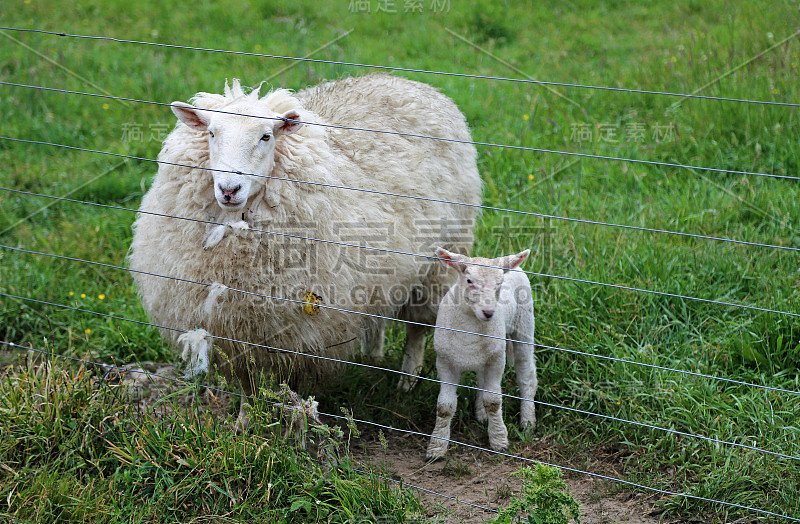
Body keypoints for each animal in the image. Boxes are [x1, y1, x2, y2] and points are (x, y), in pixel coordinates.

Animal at [130, 74, 482, 426]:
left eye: (266, 136)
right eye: (212, 133)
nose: (230, 189)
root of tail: (403, 80)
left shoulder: (305, 331)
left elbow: (295, 382)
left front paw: (297, 422)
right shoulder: (235, 327)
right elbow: (248, 382)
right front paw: (244, 423)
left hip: (436, 265)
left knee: (417, 328)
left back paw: (407, 380)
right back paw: (374, 354)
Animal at [424, 248, 536, 460]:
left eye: (500, 284)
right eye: (469, 281)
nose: (489, 313)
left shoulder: (497, 359)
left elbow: (493, 401)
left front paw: (499, 440)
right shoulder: (445, 362)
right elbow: (444, 407)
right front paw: (436, 447)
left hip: (524, 325)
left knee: (527, 375)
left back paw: (528, 420)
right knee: (482, 381)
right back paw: (482, 415)